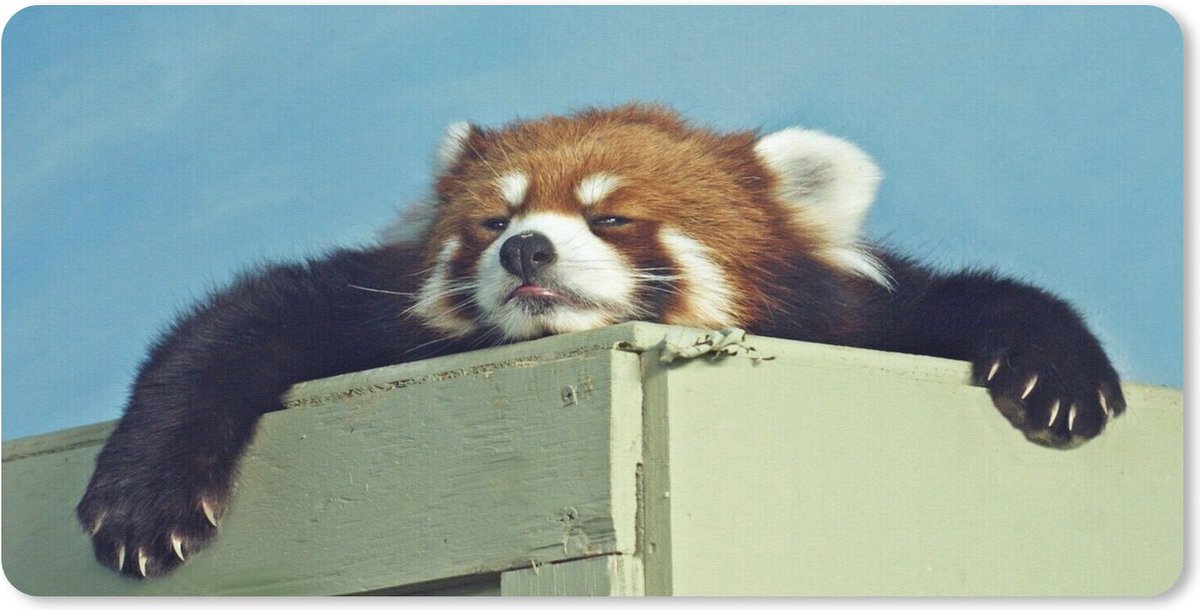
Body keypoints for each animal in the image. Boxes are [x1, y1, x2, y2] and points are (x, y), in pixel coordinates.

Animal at [76, 104, 1124, 578]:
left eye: (611, 218)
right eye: (494, 221)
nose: (526, 247)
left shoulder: (854, 310)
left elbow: (958, 300)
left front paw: (1061, 373)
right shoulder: (366, 305)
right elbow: (235, 324)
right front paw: (142, 500)